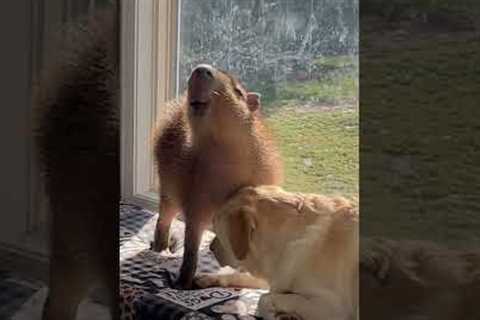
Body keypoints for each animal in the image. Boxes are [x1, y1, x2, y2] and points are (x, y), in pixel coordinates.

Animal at [197, 185, 358, 320]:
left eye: (216, 229)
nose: (210, 248)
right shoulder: (275, 274)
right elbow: (242, 276)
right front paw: (209, 277)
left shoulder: (333, 307)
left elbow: (264, 299)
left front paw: (280, 315)